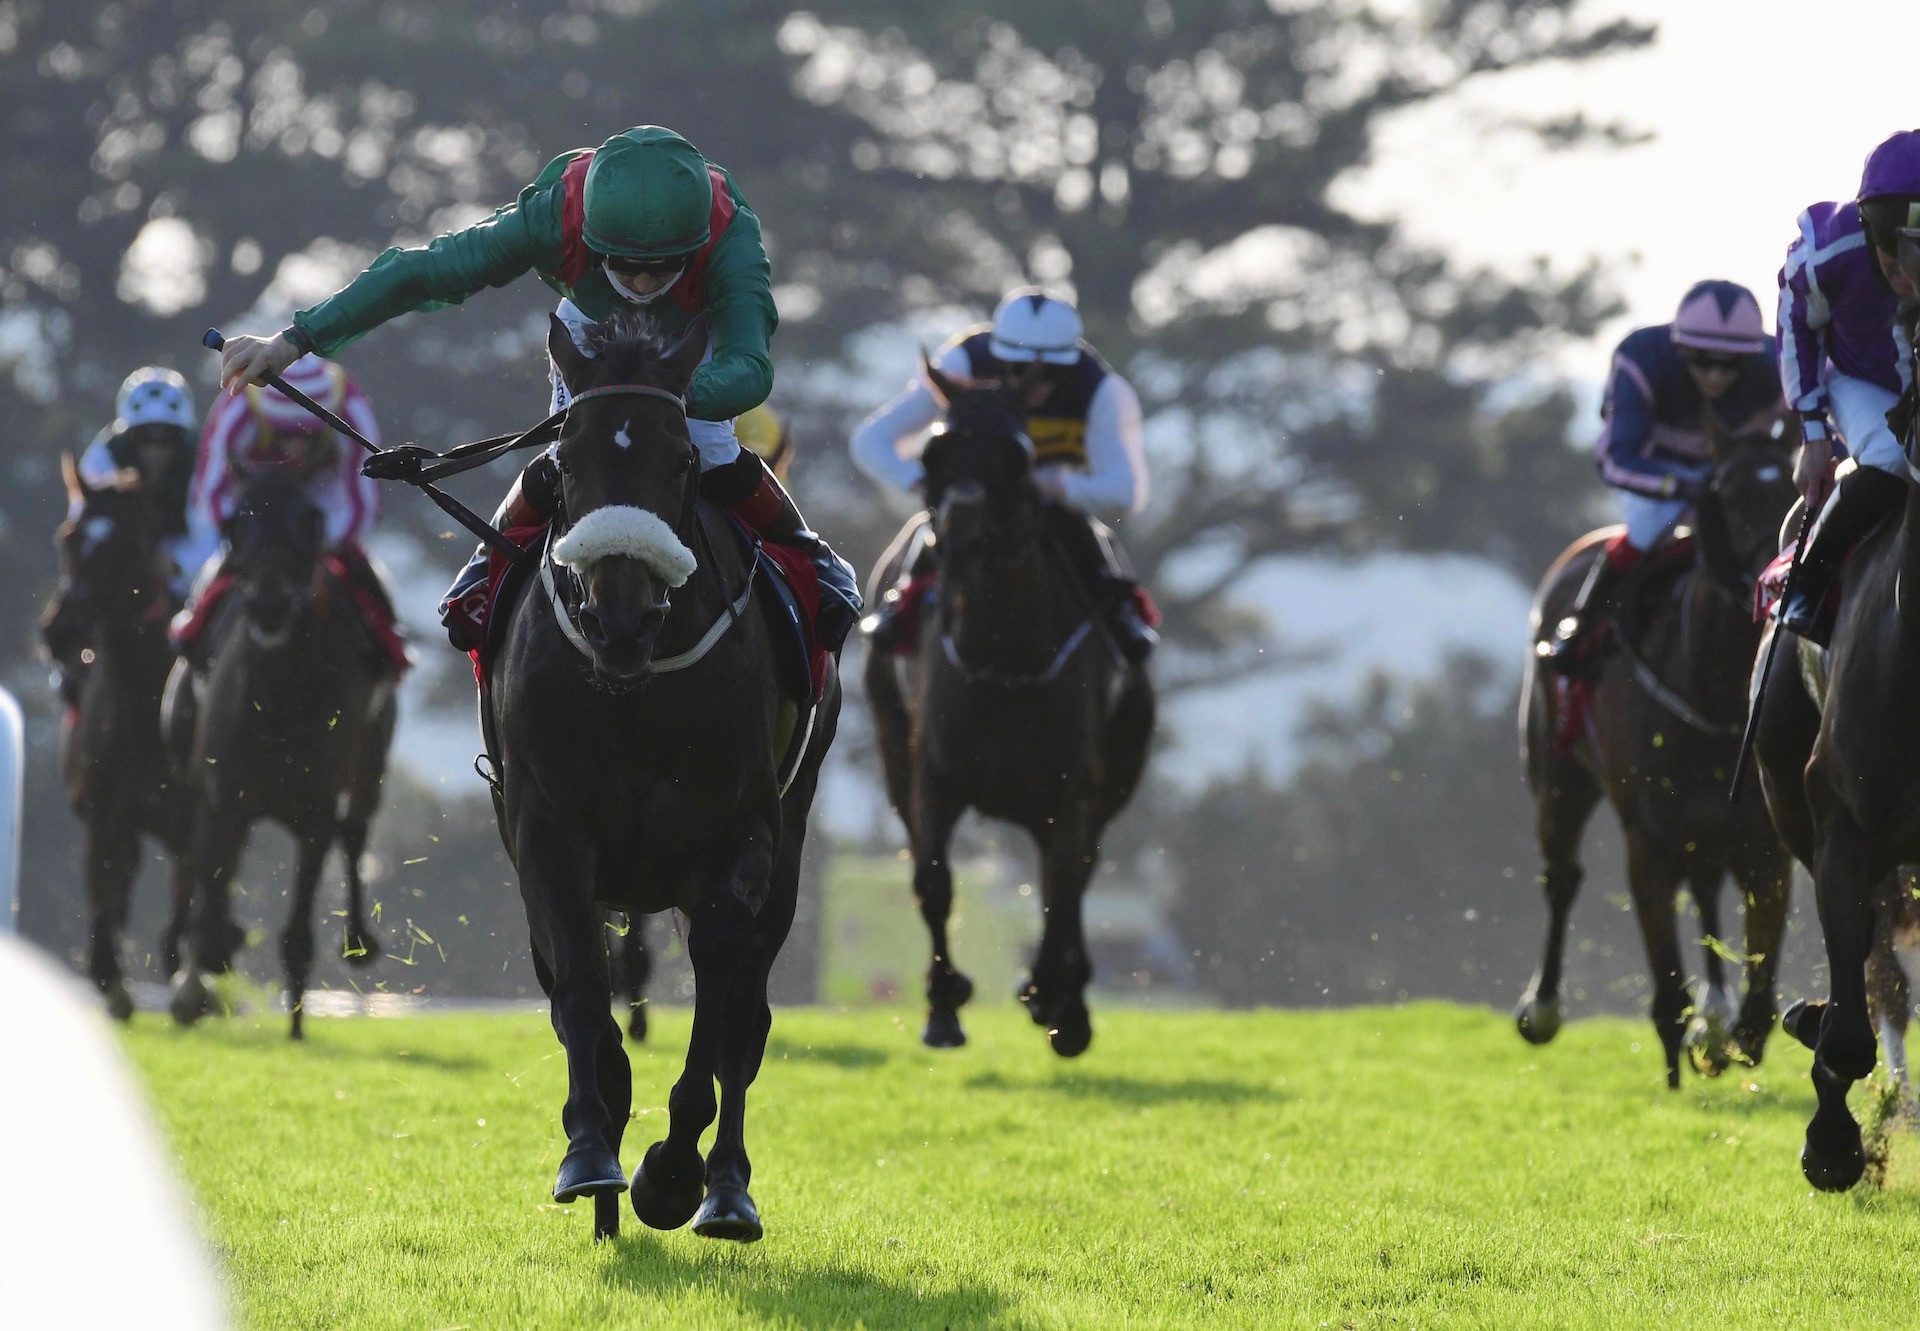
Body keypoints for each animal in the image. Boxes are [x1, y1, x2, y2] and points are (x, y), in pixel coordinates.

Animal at [43, 457, 192, 1014]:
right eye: (68, 537)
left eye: (125, 545)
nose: (60, 631)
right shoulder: (103, 815)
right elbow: (104, 896)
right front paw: (110, 980)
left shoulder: (192, 821)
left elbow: (182, 913)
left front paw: (189, 989)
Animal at [167, 466, 391, 1037]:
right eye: (234, 523)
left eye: (310, 519)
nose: (268, 606)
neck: (276, 701)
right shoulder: (222, 798)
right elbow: (209, 895)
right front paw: (194, 988)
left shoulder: (314, 813)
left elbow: (297, 932)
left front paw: (294, 1028)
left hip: (370, 764)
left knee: (356, 832)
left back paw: (357, 941)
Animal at [483, 309, 837, 1236]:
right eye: (564, 461)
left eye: (681, 461)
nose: (621, 620)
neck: (634, 689)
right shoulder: (546, 826)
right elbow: (576, 977)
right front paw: (591, 1143)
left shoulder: (742, 831)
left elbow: (719, 987)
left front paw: (673, 1171)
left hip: (792, 834)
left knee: (747, 1010)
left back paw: (726, 1187)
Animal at [867, 359, 1152, 1052]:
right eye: (934, 450)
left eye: (1018, 454)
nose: (963, 534)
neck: (1003, 656)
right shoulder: (931, 776)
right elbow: (933, 881)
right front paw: (944, 1006)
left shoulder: (1072, 792)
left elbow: (1062, 886)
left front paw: (1057, 999)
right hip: (890, 746)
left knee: (1075, 876)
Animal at [1512, 420, 1797, 1083]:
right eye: (1730, 495)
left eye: (1796, 486)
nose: (1775, 577)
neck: (1710, 687)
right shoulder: (1649, 837)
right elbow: (1665, 970)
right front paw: (1680, 1038)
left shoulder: (1762, 840)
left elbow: (1761, 987)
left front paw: (1729, 1031)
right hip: (1558, 777)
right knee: (1562, 875)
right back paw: (1542, 1008)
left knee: (1705, 885)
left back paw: (1714, 1018)